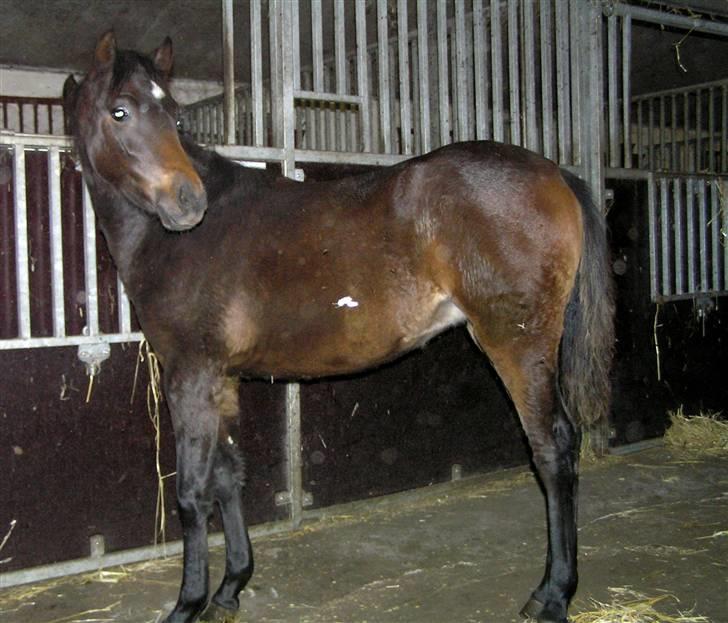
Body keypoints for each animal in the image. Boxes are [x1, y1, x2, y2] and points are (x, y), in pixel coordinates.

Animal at [63, 32, 613, 623]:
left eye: (175, 117)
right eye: (121, 111)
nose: (188, 202)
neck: (182, 242)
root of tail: (554, 172)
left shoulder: (189, 376)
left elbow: (192, 493)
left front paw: (187, 604)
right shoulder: (220, 379)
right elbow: (228, 476)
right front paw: (229, 590)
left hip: (517, 343)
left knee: (553, 448)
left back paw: (551, 595)